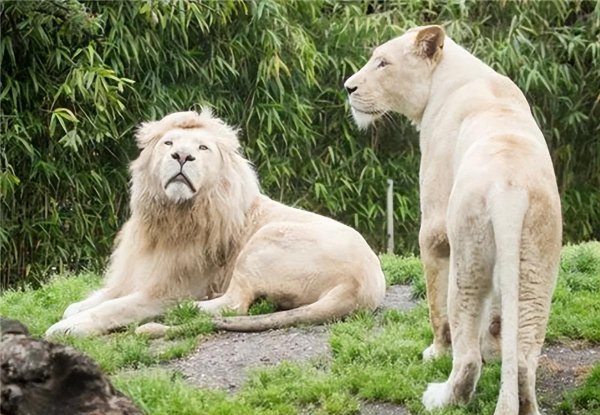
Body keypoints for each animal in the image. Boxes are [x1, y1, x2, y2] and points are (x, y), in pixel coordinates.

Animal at [45, 109, 384, 338]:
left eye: (202, 148)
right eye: (168, 143)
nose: (182, 156)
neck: (170, 216)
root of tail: (360, 287)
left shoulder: (166, 289)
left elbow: (114, 307)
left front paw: (68, 327)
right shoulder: (135, 275)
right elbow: (96, 299)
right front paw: (74, 311)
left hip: (265, 239)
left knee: (232, 305)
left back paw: (180, 310)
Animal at [344, 26, 560, 415]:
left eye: (383, 62)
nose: (348, 88)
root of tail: (509, 189)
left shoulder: (433, 226)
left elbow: (435, 304)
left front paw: (435, 352)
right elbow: (498, 321)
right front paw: (495, 348)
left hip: (467, 254)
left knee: (466, 354)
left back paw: (439, 396)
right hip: (537, 265)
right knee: (523, 359)